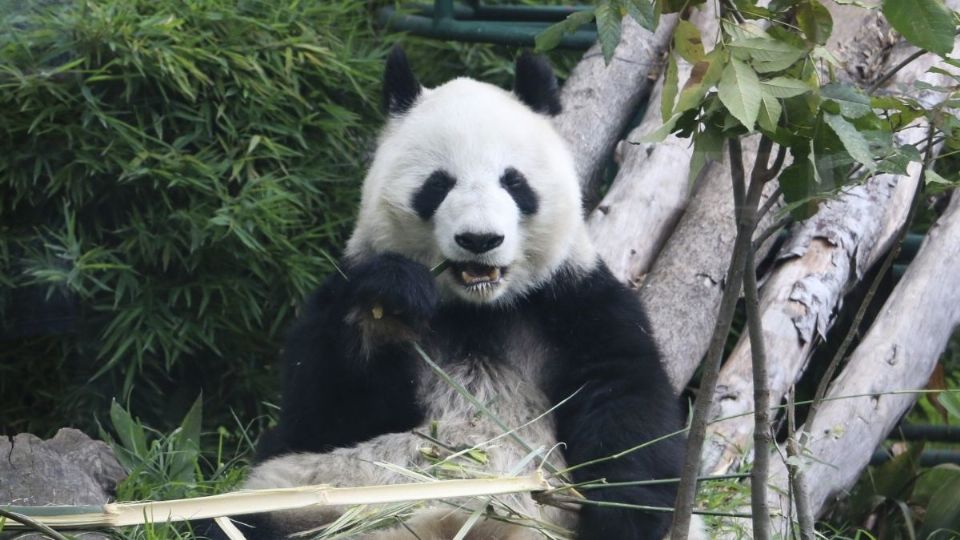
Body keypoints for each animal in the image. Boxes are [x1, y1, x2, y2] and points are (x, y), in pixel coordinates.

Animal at [239, 47, 688, 540]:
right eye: (438, 184)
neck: (477, 309)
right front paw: (392, 303)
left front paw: (622, 514)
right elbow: (321, 412)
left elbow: (626, 399)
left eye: (514, 182)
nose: (479, 239)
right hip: (309, 492)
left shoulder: (575, 298)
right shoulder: (344, 289)